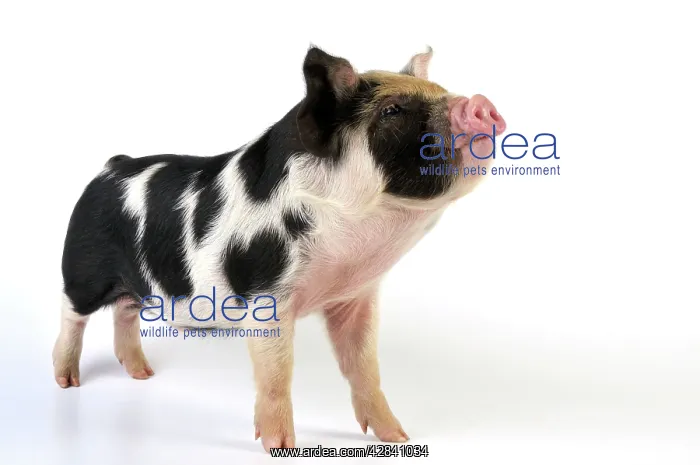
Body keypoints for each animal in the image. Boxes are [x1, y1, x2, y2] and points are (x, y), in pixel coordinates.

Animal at [52, 46, 506, 452]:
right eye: (393, 110)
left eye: (440, 89)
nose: (480, 102)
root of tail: (111, 167)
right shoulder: (265, 292)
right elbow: (277, 373)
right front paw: (279, 447)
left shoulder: (355, 297)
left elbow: (364, 367)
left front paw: (398, 437)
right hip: (83, 268)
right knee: (72, 314)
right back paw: (67, 381)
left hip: (134, 286)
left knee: (125, 313)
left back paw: (142, 375)